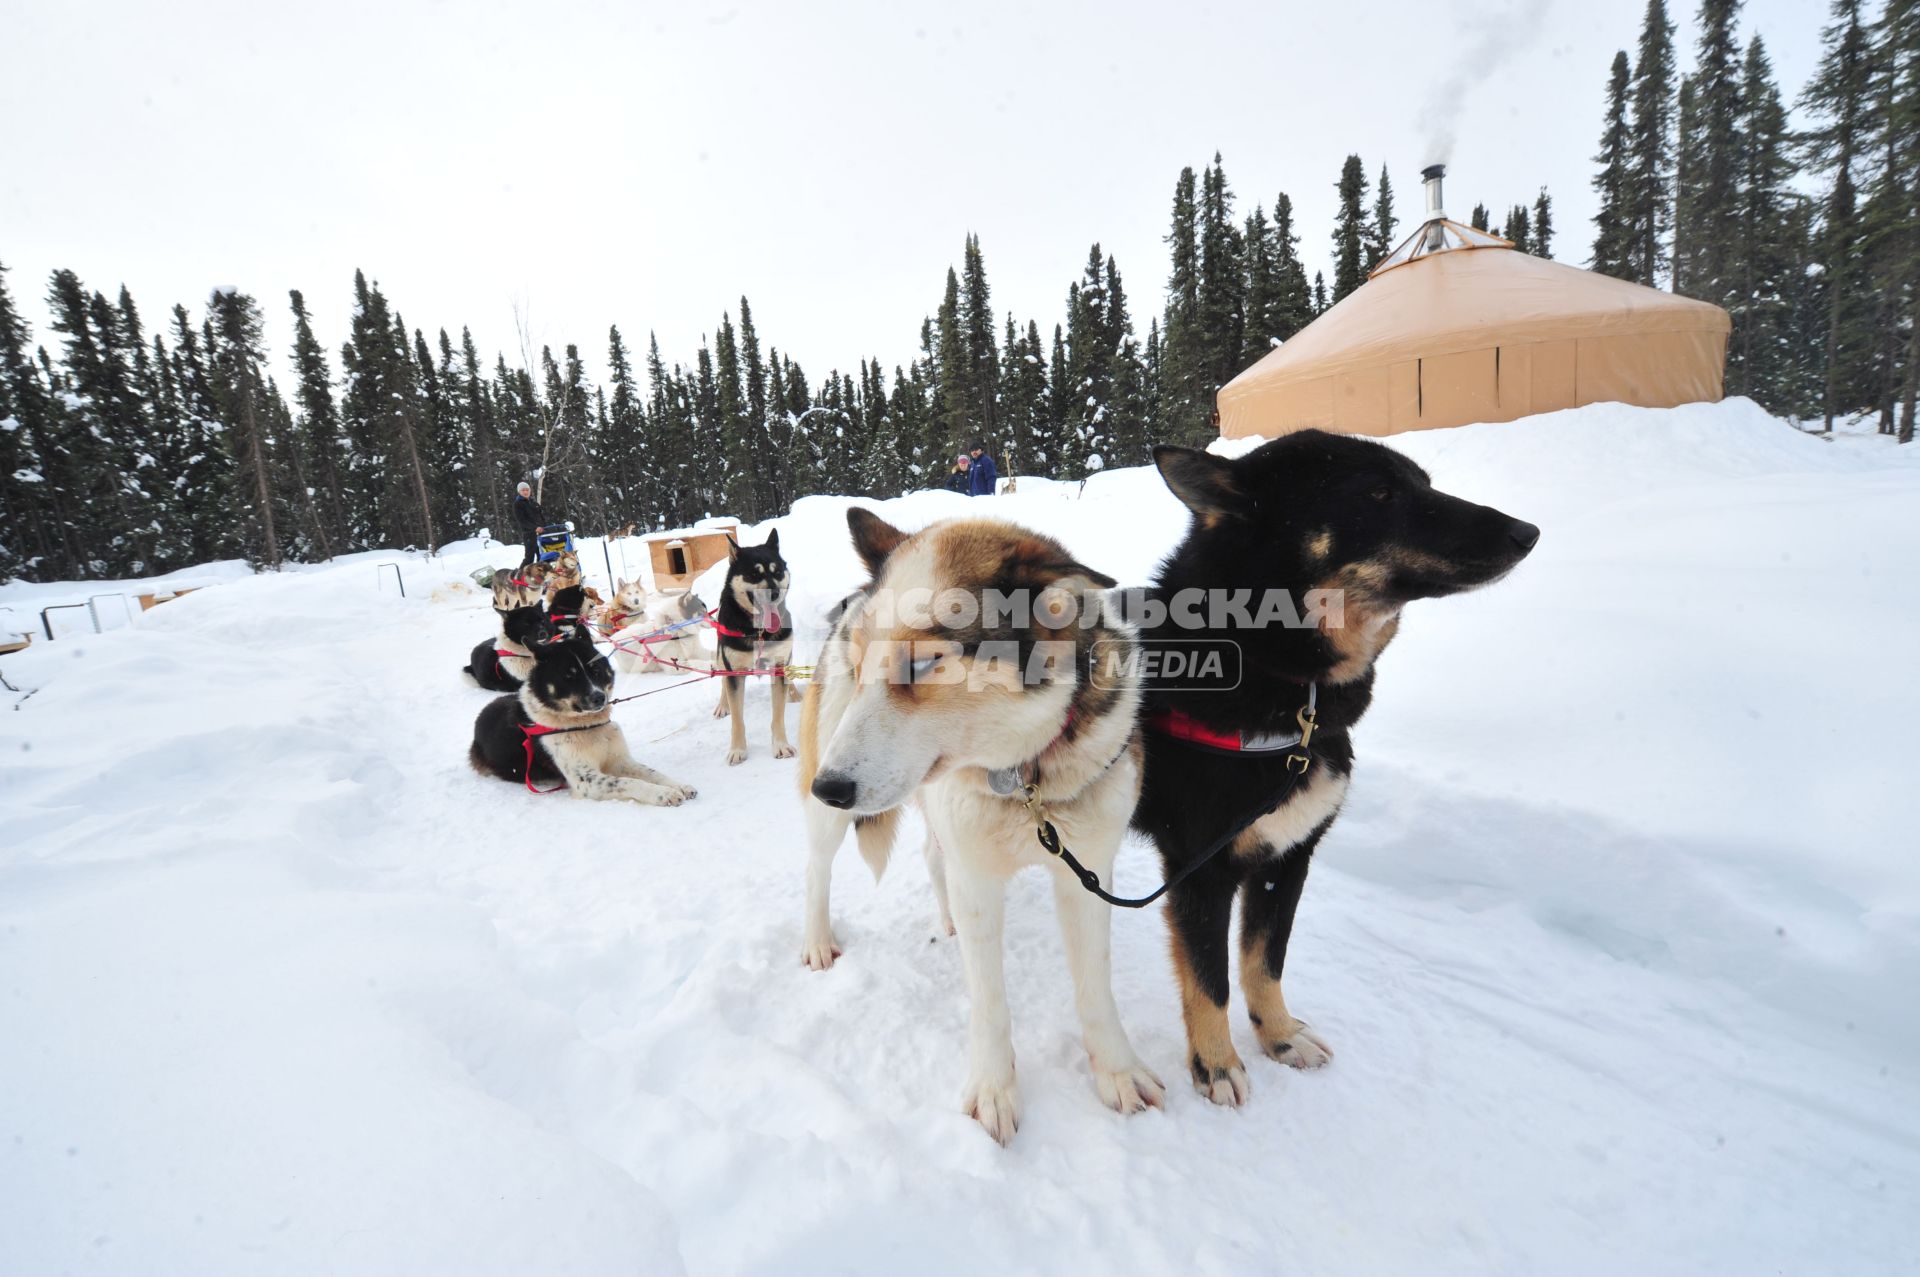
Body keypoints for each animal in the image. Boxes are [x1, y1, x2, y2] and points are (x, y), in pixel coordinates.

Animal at [466, 622, 698, 802]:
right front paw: (662, 794)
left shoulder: (620, 761)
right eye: (568, 677)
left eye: (595, 670)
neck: (585, 724)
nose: (599, 697)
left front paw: (677, 785)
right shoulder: (586, 781)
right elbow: (629, 782)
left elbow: (650, 772)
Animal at [791, 506, 1159, 1144]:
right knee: (818, 869)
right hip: (832, 803)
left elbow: (1095, 987)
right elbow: (990, 1003)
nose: (829, 786)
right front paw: (994, 1090)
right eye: (861, 666)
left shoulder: (1087, 872)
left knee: (933, 858)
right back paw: (818, 939)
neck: (1025, 779)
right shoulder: (979, 881)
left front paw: (1117, 1070)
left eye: (922, 662)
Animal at [1128, 430, 1536, 1106]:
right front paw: (1216, 1064)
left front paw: (1280, 1037)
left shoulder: (1289, 856)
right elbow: (1211, 981)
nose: (1527, 531)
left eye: (1424, 483)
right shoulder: (1200, 871)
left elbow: (1265, 962)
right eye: (1378, 493)